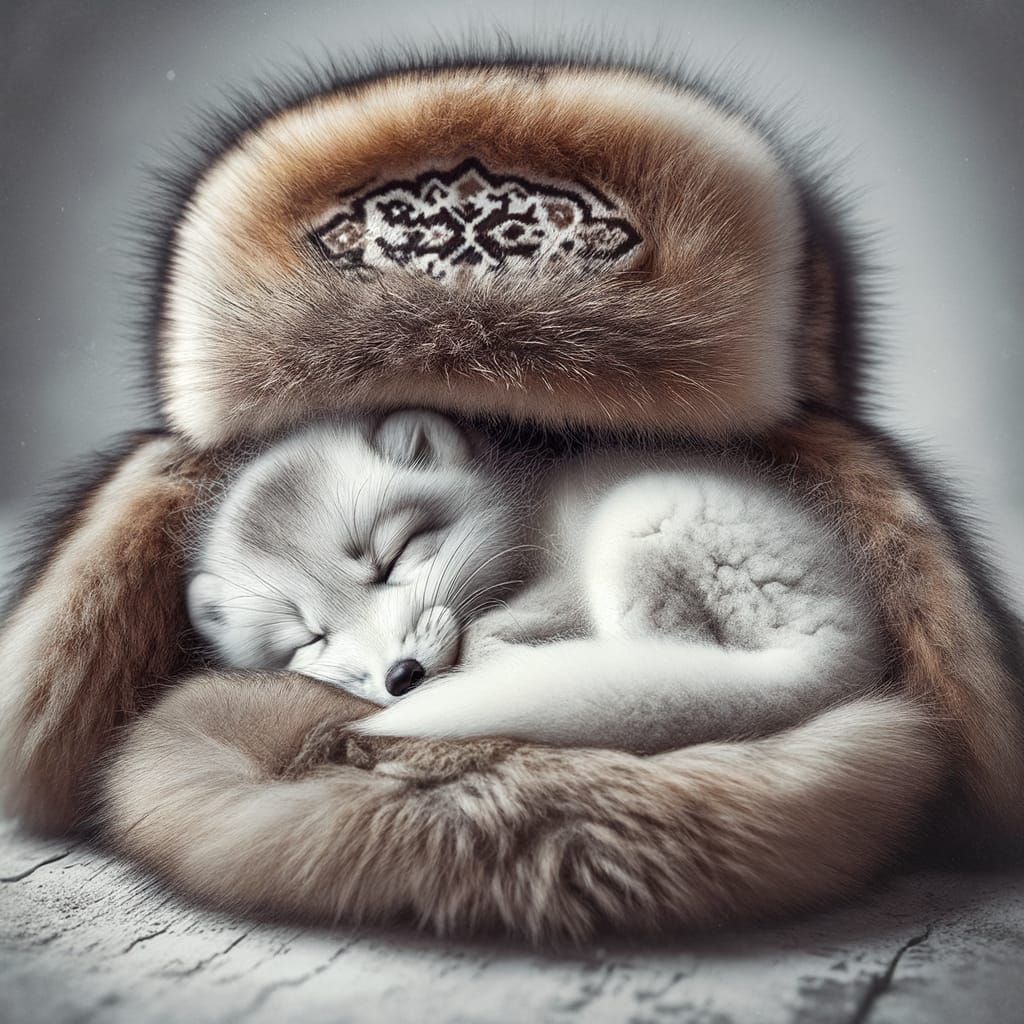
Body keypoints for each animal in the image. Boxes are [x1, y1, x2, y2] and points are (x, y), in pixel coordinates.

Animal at [187, 410, 887, 753]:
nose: (403, 677)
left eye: (395, 558)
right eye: (310, 640)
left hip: (634, 520)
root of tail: (852, 648)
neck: (530, 512)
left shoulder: (559, 579)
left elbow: (484, 632)